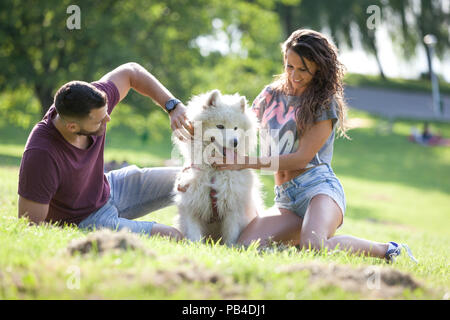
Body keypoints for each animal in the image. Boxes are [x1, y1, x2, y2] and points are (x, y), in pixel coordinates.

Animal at [172, 89, 264, 245]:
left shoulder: (233, 209)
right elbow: (194, 235)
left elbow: (231, 236)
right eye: (220, 126)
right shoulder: (191, 206)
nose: (235, 142)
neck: (214, 170)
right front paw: (195, 247)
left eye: (235, 128)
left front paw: (230, 248)